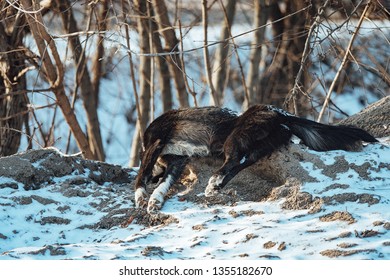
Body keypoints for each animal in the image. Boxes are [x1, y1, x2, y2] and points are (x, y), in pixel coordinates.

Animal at [134, 104, 378, 212]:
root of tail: (281, 114)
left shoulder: (156, 144)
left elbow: (141, 175)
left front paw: (141, 198)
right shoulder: (177, 161)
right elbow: (163, 184)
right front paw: (155, 201)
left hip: (234, 139)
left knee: (233, 162)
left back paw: (212, 184)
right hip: (255, 146)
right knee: (240, 164)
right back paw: (216, 186)